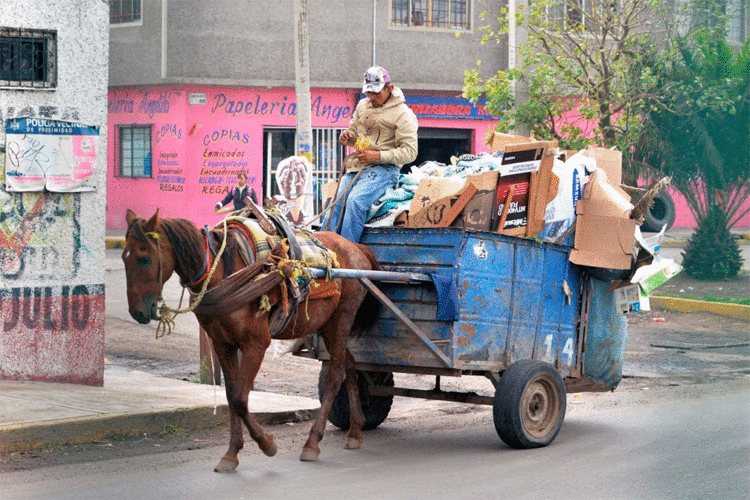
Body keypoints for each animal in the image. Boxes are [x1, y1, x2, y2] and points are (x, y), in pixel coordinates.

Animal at [125, 208, 382, 472]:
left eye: (144, 259)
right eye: (124, 258)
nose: (137, 312)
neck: (222, 270)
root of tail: (355, 247)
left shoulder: (256, 343)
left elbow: (241, 398)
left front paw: (267, 443)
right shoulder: (222, 343)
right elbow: (231, 396)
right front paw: (231, 453)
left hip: (341, 319)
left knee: (334, 376)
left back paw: (312, 443)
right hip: (326, 325)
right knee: (349, 365)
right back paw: (355, 430)